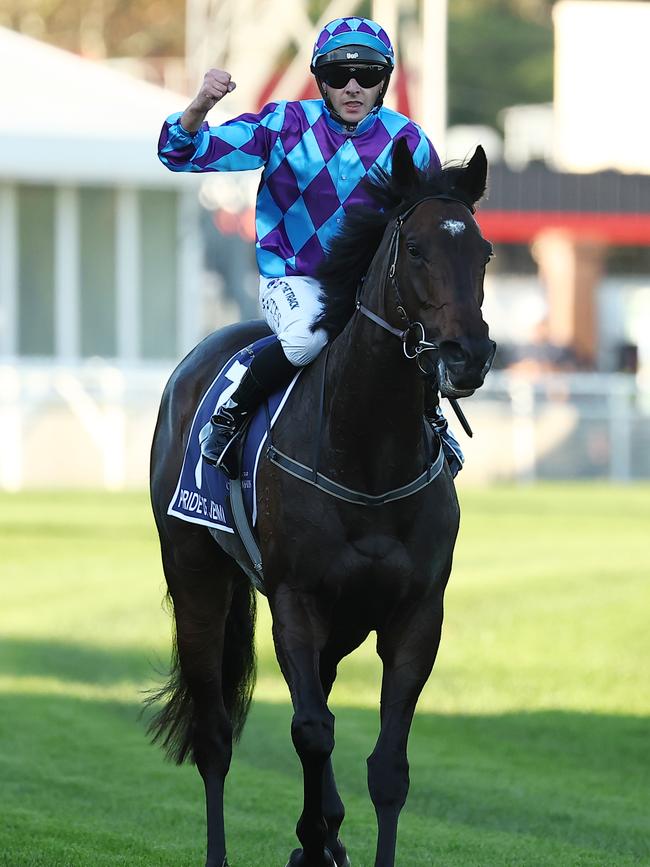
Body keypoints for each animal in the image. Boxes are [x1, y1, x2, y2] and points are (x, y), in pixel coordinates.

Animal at [151, 137, 496, 867]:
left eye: (483, 252)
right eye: (415, 248)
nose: (468, 354)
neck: (367, 455)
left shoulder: (416, 610)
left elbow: (387, 765)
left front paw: (328, 837)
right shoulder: (296, 599)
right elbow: (312, 729)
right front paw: (321, 832)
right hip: (196, 576)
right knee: (215, 734)